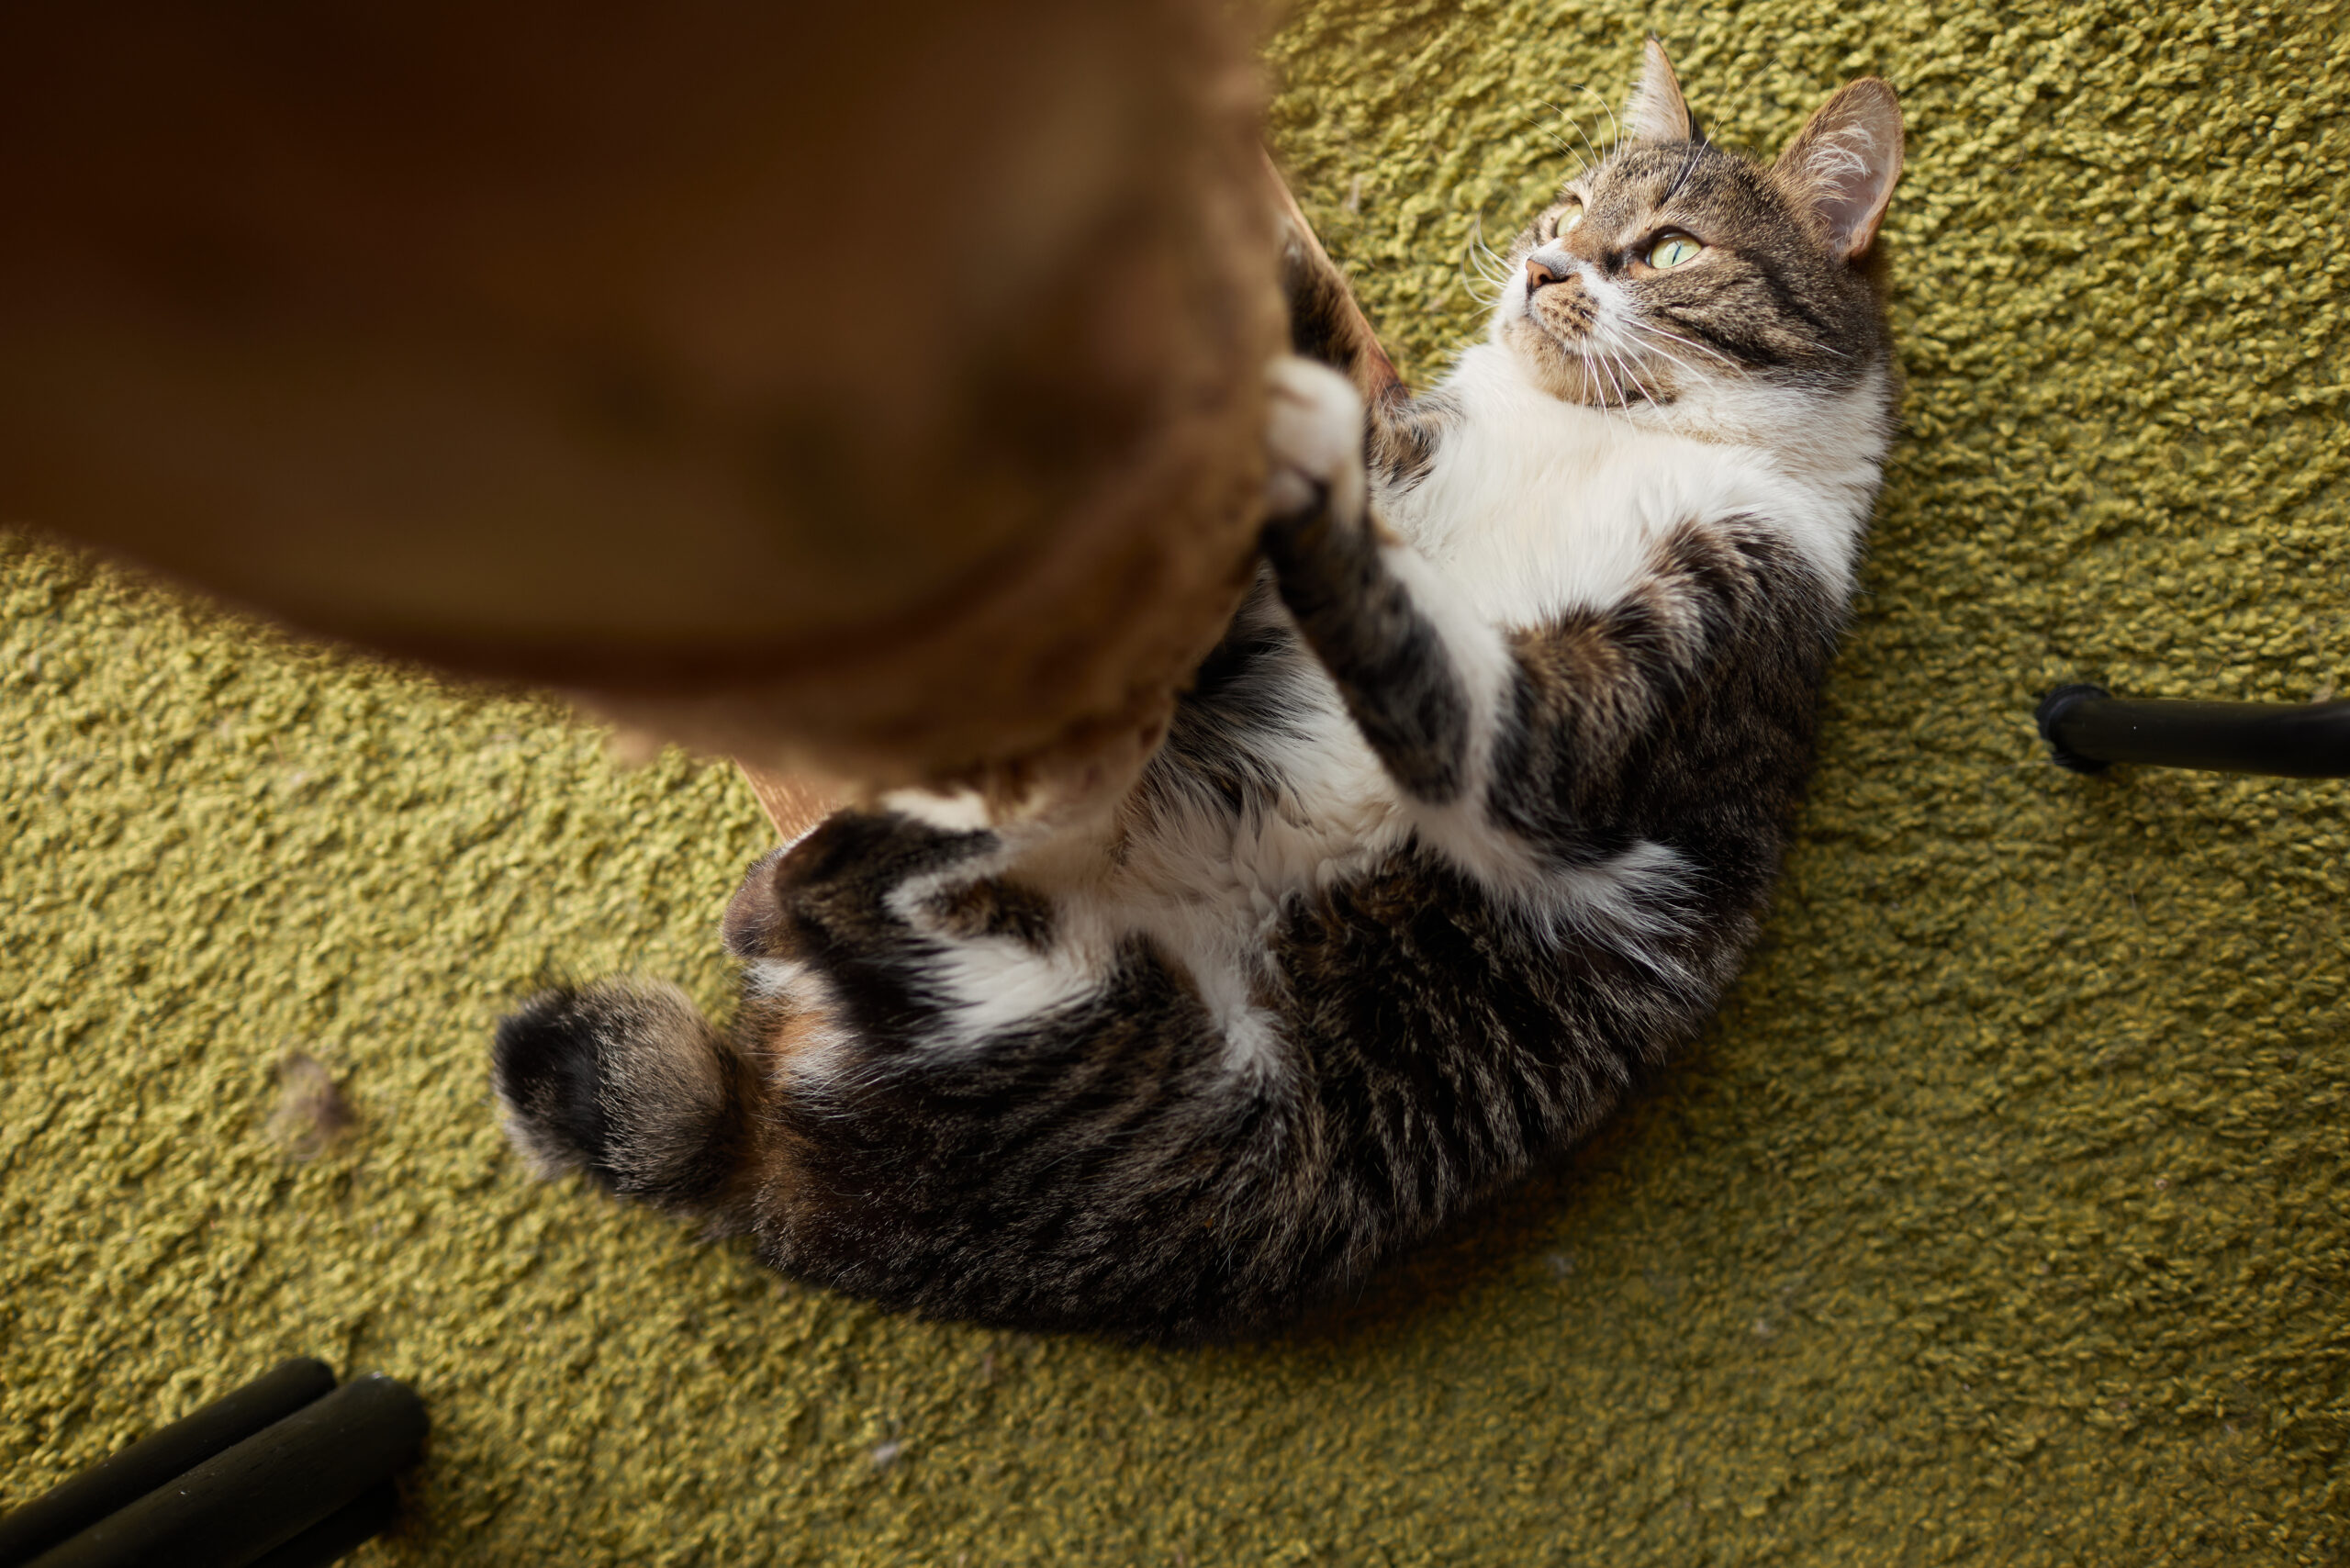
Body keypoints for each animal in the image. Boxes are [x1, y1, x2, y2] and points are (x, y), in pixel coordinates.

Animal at [486, 46, 1898, 1353]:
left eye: (1666, 248)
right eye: (1562, 205)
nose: (1544, 268)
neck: (1597, 435)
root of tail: (764, 1163)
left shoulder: (1623, 691)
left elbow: (1403, 626)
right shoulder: (1396, 457)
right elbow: (1318, 367)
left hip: (1069, 1024)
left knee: (826, 896)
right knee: (800, 900)